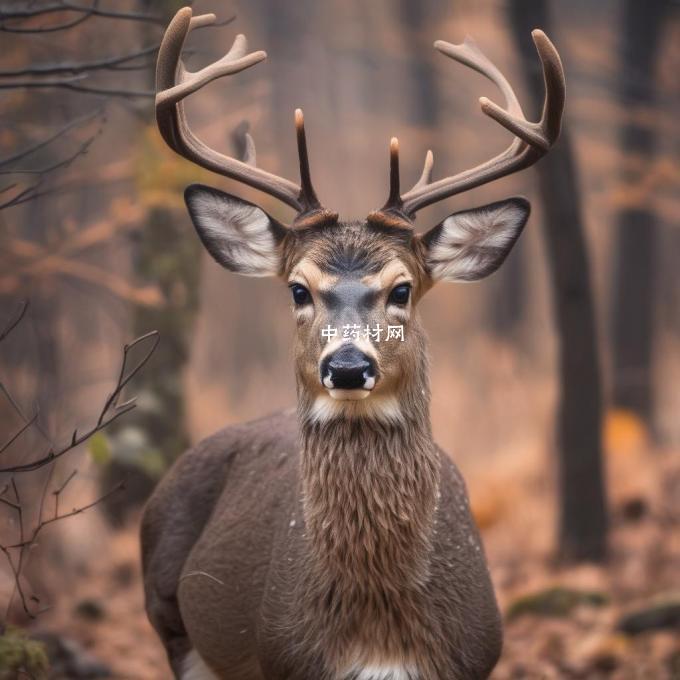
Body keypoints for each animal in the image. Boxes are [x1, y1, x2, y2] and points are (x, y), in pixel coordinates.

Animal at [141, 6, 564, 680]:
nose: (345, 366)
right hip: (167, 613)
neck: (380, 633)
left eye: (402, 289)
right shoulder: (282, 653)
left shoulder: (476, 653)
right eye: (297, 289)